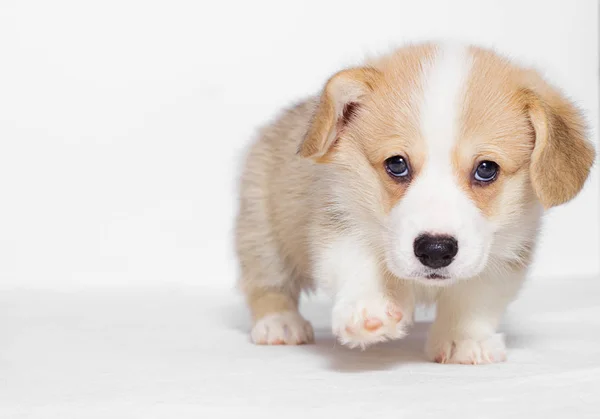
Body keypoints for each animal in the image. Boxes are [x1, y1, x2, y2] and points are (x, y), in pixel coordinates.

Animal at [232, 43, 592, 364]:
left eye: (487, 169)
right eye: (396, 164)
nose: (435, 250)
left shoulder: (505, 254)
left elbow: (474, 300)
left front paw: (464, 341)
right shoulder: (339, 221)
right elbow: (356, 264)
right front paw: (367, 311)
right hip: (261, 231)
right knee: (268, 283)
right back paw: (279, 323)